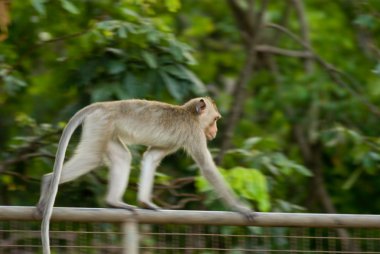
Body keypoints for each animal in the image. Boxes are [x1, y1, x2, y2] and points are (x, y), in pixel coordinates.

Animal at [37, 97, 255, 254]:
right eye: (215, 119)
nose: (215, 131)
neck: (189, 113)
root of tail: (102, 105)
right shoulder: (194, 133)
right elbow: (207, 168)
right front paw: (241, 208)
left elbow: (150, 158)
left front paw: (146, 202)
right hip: (100, 125)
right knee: (91, 157)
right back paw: (48, 181)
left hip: (107, 130)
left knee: (123, 156)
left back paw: (115, 201)